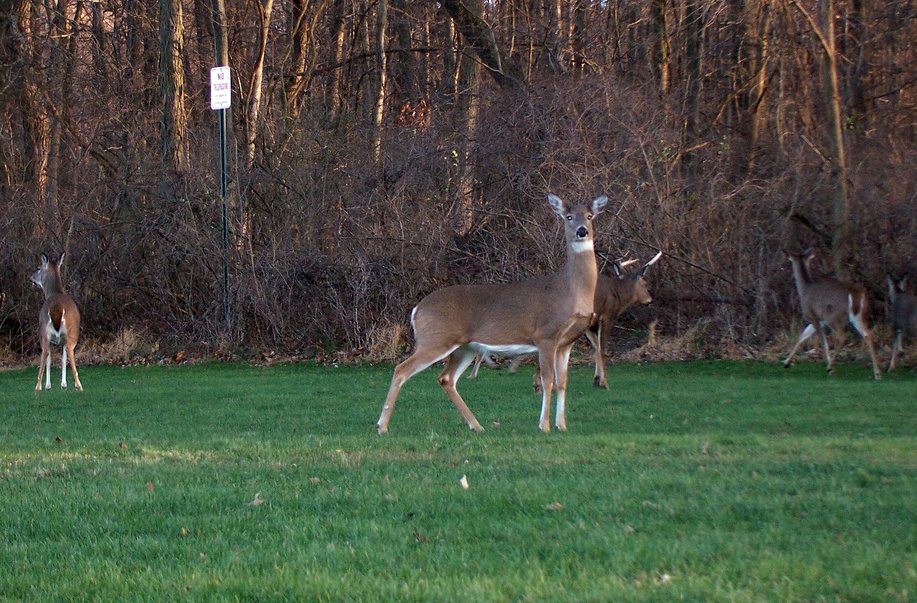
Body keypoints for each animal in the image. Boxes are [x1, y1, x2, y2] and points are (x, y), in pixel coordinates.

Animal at [30, 254, 82, 392]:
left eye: (38, 268)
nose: (31, 278)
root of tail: (56, 307)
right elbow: (60, 359)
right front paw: (60, 384)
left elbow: (58, 359)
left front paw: (60, 384)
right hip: (66, 333)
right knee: (64, 351)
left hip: (46, 333)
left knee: (47, 353)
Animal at [378, 193, 608, 434]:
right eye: (568, 216)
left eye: (590, 216)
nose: (582, 231)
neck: (571, 293)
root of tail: (417, 310)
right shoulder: (546, 335)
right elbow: (548, 381)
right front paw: (544, 426)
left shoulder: (566, 343)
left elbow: (562, 383)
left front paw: (561, 426)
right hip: (436, 338)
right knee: (401, 369)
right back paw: (382, 426)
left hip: (465, 347)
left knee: (446, 378)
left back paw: (476, 425)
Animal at [472, 251, 660, 390]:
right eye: (645, 283)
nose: (650, 300)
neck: (618, 295)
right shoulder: (607, 316)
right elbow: (602, 348)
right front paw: (603, 382)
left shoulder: (589, 324)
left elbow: (595, 347)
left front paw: (596, 378)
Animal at [780, 248, 880, 380]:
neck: (804, 290)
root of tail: (855, 292)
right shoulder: (819, 320)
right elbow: (802, 336)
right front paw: (786, 362)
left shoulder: (813, 316)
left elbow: (823, 342)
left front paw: (829, 366)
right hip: (858, 316)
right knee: (868, 335)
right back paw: (877, 373)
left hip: (834, 316)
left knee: (842, 336)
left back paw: (830, 367)